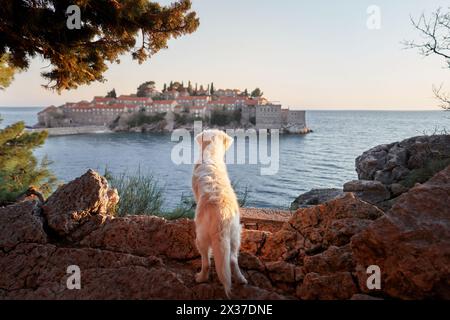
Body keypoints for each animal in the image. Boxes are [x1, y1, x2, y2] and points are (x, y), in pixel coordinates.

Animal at [192, 129, 248, 298]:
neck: (211, 155)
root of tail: (222, 214)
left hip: (201, 236)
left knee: (207, 262)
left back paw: (200, 278)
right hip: (235, 234)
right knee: (232, 260)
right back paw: (241, 279)